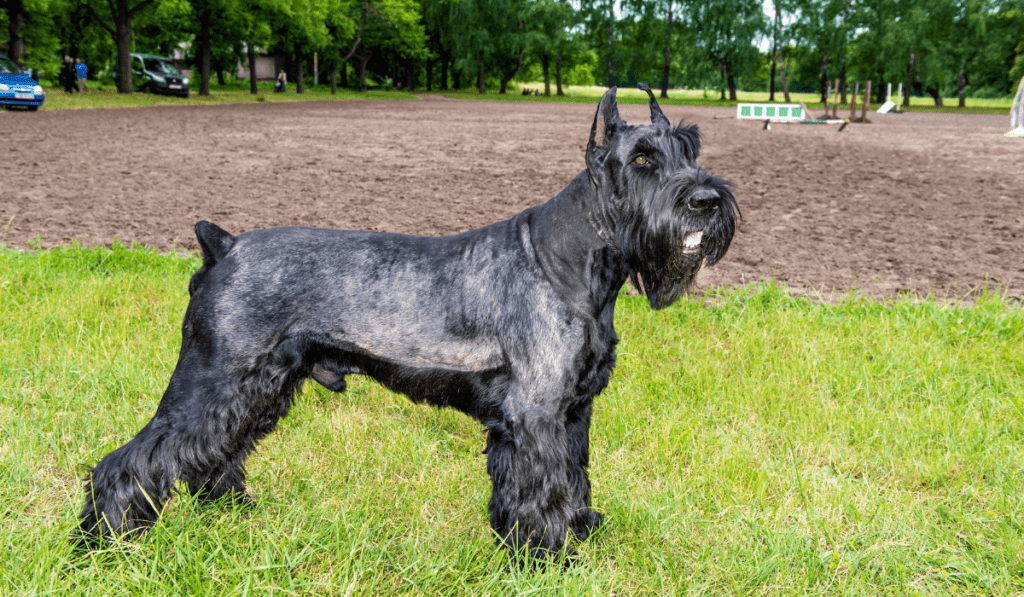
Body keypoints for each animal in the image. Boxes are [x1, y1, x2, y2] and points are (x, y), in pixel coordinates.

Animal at [77, 83, 737, 561]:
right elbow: (542, 489)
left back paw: (231, 514)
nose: (707, 200)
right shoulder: (537, 415)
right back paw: (102, 543)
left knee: (213, 455)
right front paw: (548, 558)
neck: (572, 262)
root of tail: (224, 245)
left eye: (692, 148)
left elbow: (572, 480)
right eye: (643, 158)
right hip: (212, 381)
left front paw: (579, 532)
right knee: (131, 462)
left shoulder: (573, 413)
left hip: (256, 389)